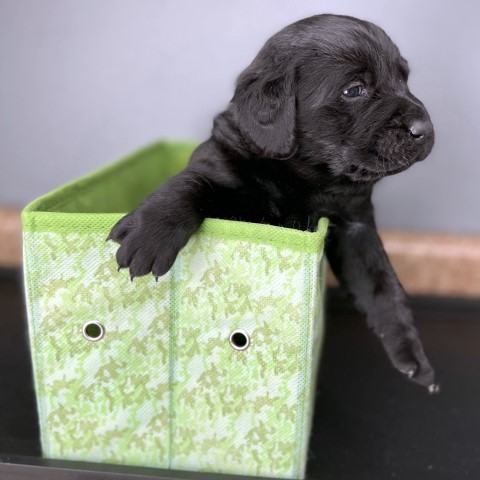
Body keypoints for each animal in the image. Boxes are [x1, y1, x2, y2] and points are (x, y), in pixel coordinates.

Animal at [109, 14, 438, 390]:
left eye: (404, 79)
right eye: (354, 89)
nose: (425, 128)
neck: (303, 177)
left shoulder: (355, 227)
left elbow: (383, 288)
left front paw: (412, 355)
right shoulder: (219, 167)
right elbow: (190, 184)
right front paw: (150, 236)